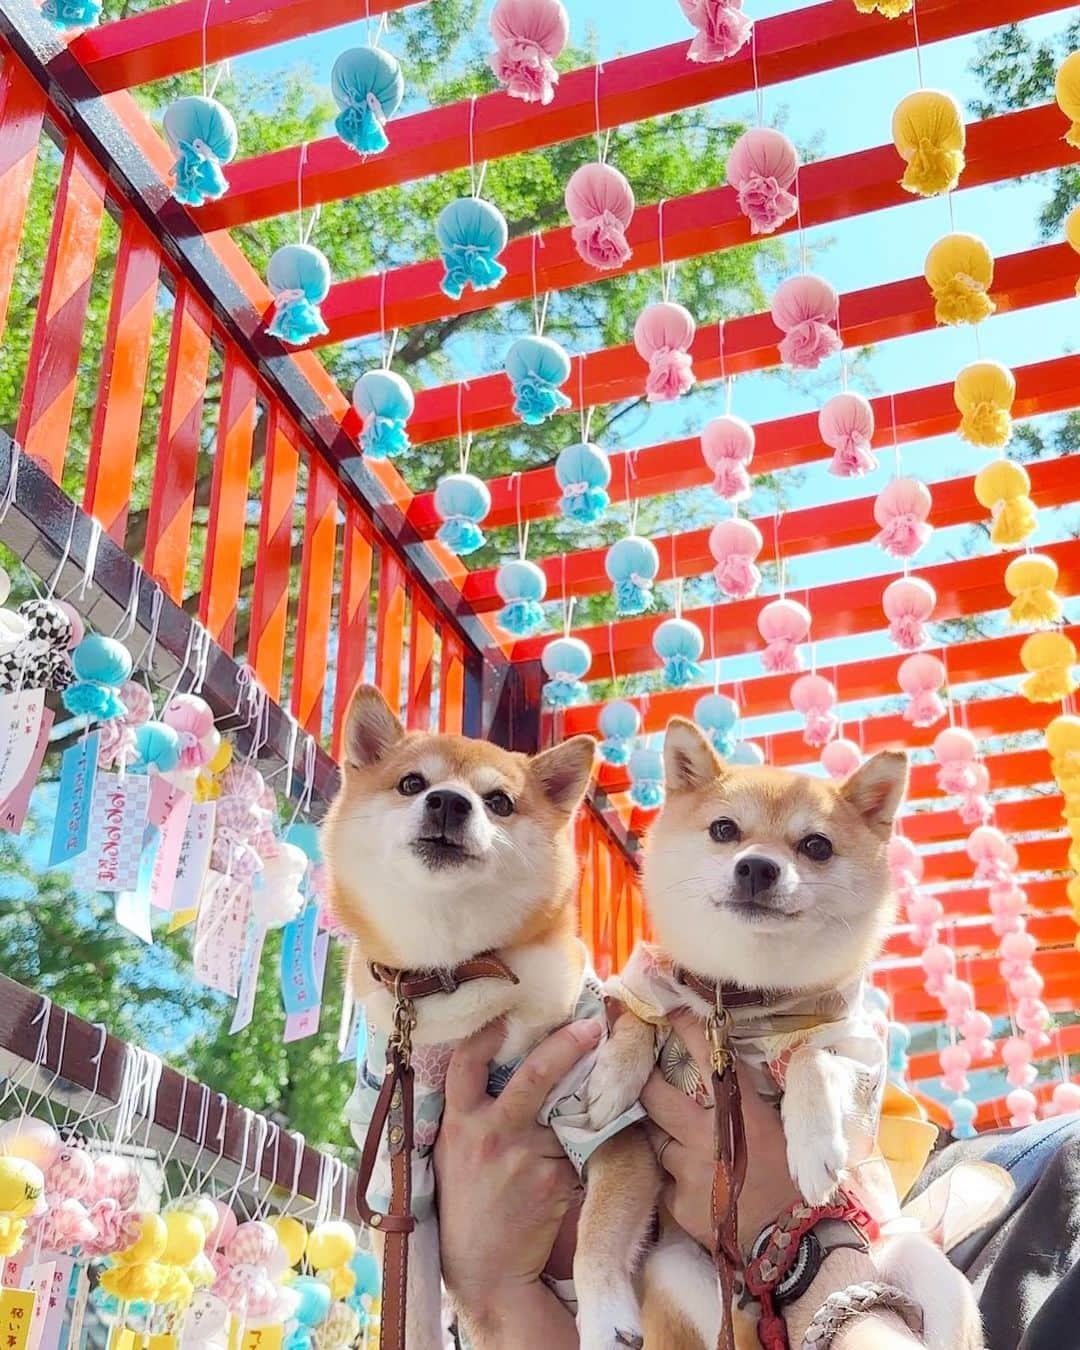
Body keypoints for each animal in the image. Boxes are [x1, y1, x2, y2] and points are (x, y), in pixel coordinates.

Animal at [321, 685, 658, 1350]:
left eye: (498, 801)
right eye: (411, 783)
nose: (449, 801)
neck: (457, 970)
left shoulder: (601, 1123)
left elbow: (597, 1239)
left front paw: (606, 1319)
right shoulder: (404, 1173)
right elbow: (412, 1306)